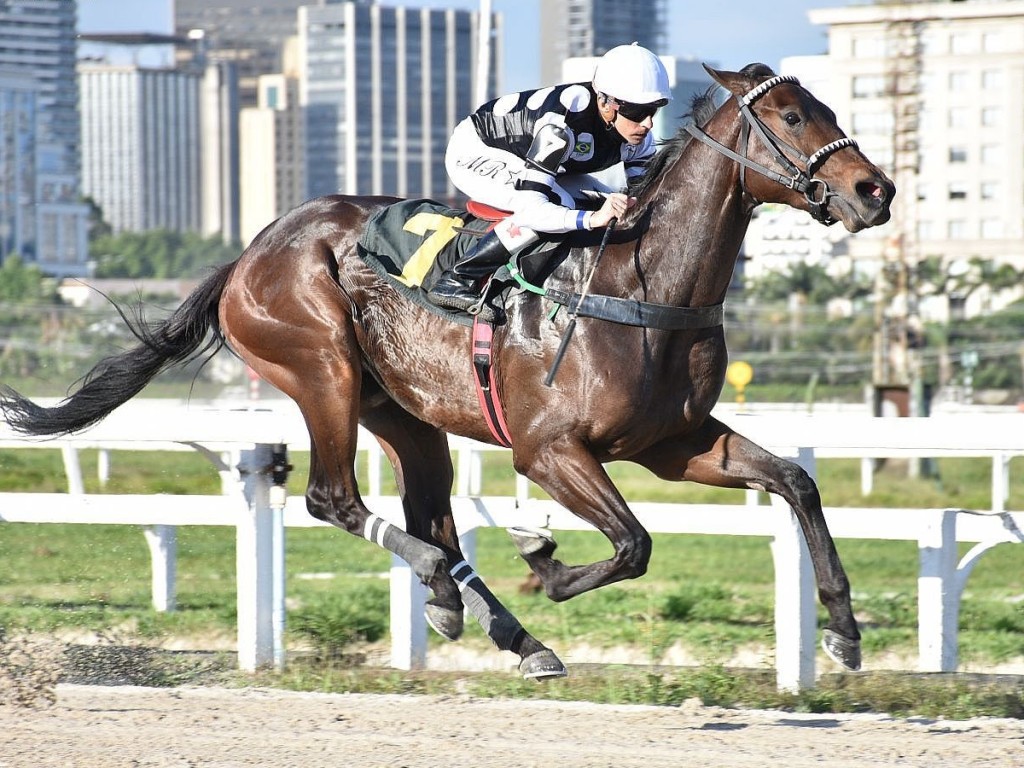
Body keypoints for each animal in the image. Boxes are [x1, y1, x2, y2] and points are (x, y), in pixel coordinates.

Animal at [0, 66, 892, 679]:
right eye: (789, 114)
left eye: (828, 108)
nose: (874, 189)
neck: (639, 282)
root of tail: (250, 253)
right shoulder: (549, 451)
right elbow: (633, 544)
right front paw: (543, 554)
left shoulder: (673, 443)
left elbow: (795, 482)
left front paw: (843, 630)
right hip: (320, 367)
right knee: (337, 500)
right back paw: (449, 588)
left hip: (403, 411)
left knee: (433, 520)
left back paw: (504, 632)